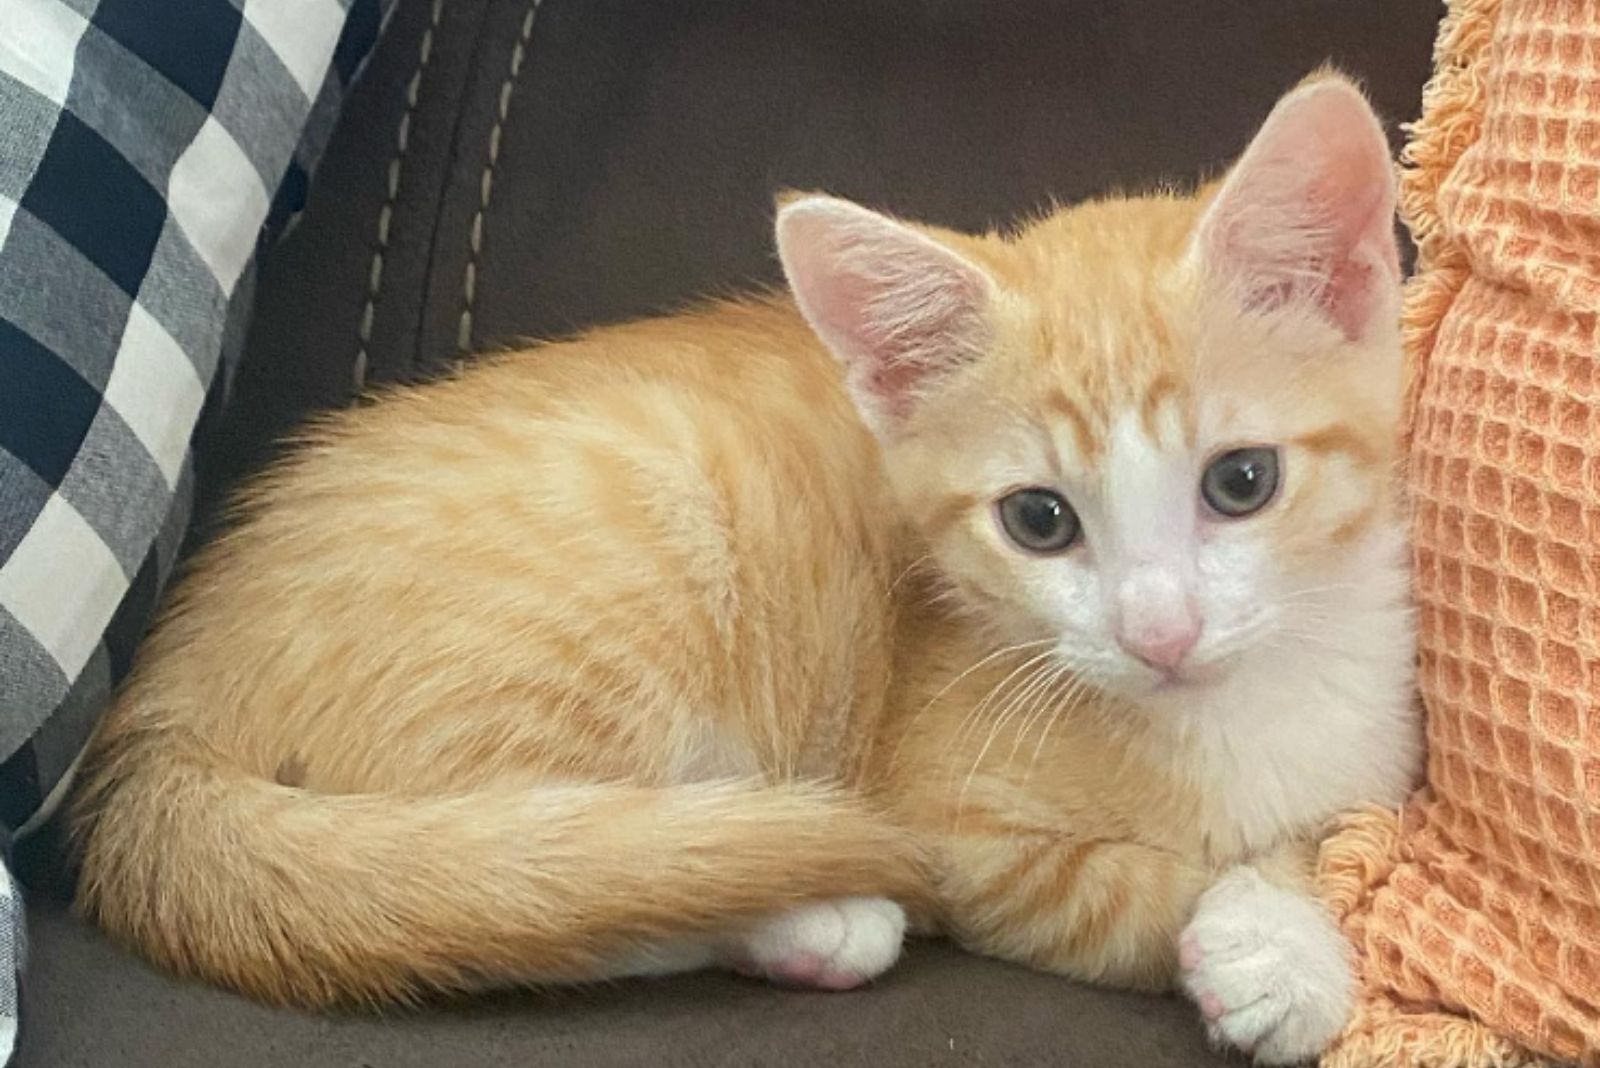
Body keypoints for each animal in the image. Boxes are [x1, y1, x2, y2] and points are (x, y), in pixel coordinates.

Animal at [75, 70, 1420, 1061]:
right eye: (1038, 520)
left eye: (1240, 483)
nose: (1158, 632)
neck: (1229, 716)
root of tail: (165, 706)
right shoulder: (963, 838)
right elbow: (1126, 888)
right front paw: (1264, 949)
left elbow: (1330, 837)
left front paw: (1283, 933)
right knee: (512, 887)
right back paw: (804, 919)